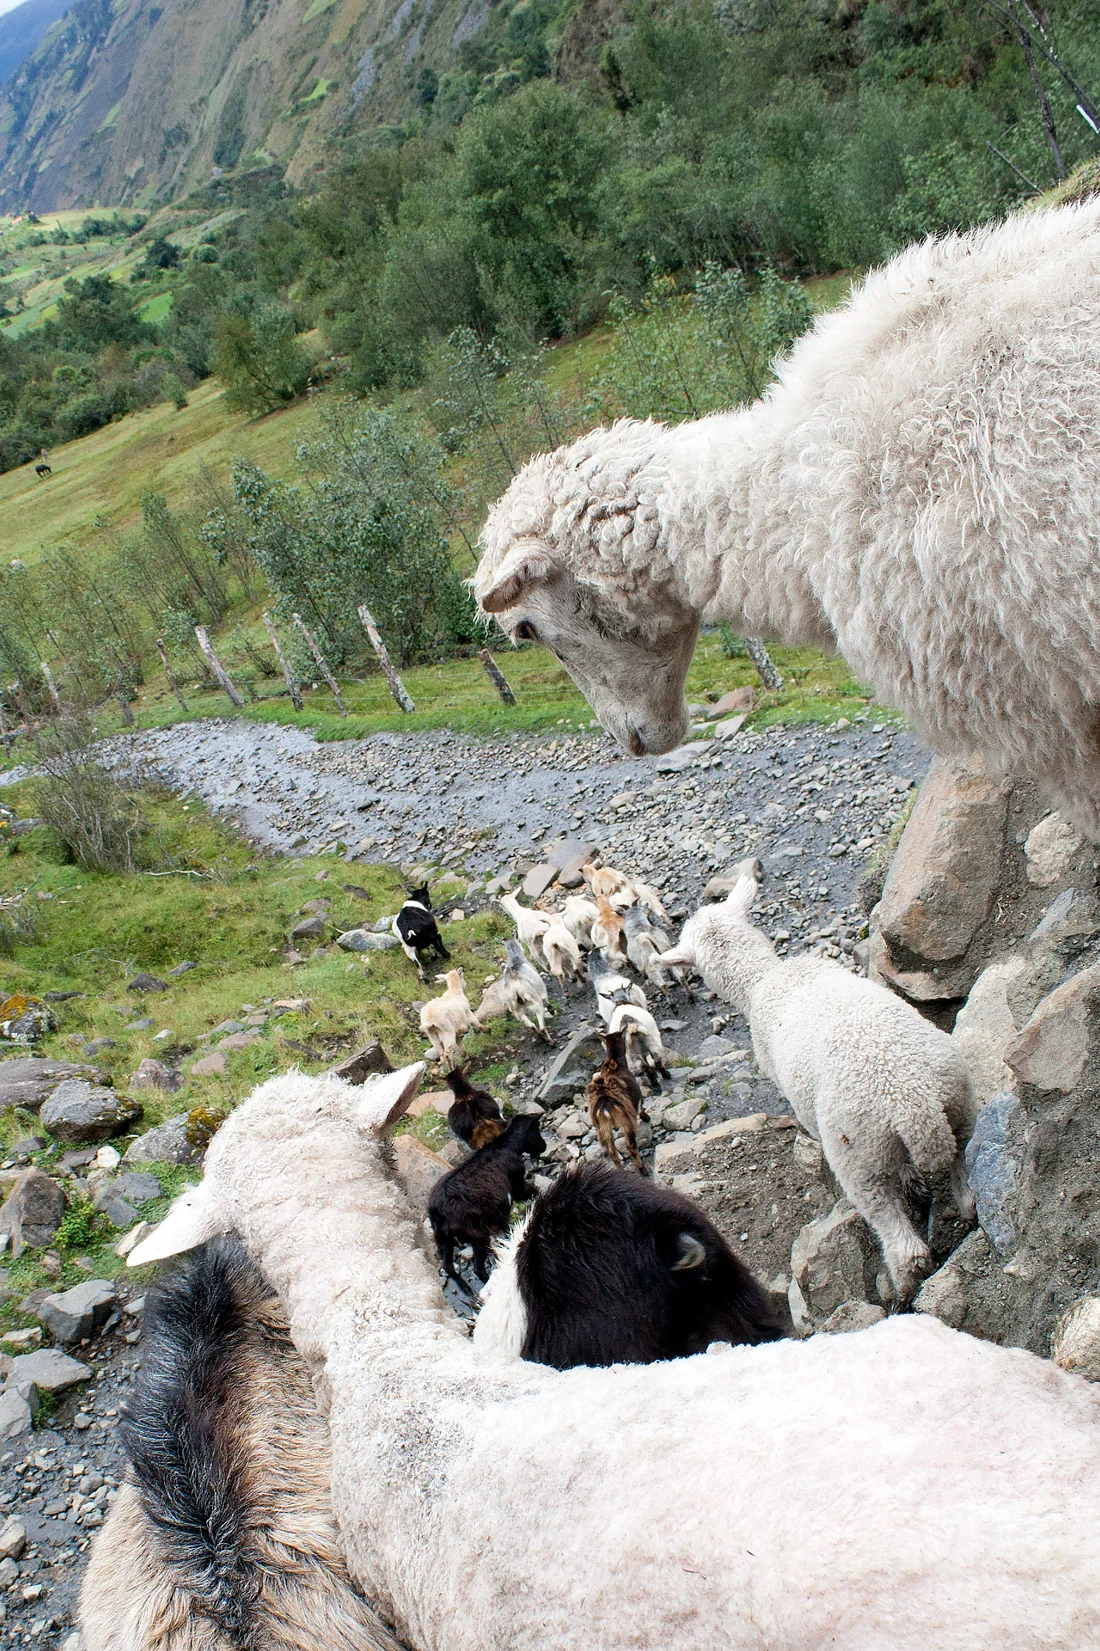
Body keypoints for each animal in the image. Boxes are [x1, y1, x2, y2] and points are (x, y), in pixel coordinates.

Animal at [428, 1114, 546, 1289]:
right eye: (537, 1128)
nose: (544, 1146)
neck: (506, 1147)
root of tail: (438, 1212)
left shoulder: (499, 1213)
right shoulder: (515, 1183)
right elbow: (528, 1191)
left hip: (443, 1238)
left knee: (448, 1265)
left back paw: (467, 1290)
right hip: (477, 1233)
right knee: (477, 1268)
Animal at [587, 1028, 647, 1173]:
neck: (615, 1064)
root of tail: (604, 1107)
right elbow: (641, 1107)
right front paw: (646, 1118)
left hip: (603, 1127)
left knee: (611, 1150)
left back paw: (619, 1168)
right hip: (625, 1122)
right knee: (630, 1146)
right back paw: (642, 1169)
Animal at [659, 861, 977, 1306]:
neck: (764, 978)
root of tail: (911, 1103)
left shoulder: (797, 1096)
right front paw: (914, 1180)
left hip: (857, 1150)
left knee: (899, 1238)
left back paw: (903, 1286)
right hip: (957, 1100)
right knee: (963, 1169)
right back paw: (966, 1209)